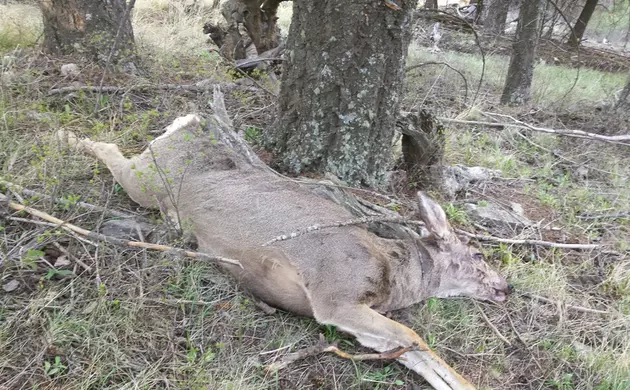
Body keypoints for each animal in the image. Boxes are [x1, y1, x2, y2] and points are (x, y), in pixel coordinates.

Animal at [58, 88, 512, 390]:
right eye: (478, 255)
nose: (506, 287)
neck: (395, 275)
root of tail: (193, 122)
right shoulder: (334, 294)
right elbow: (414, 336)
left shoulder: (355, 317)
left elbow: (416, 352)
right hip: (148, 180)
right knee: (114, 150)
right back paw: (70, 138)